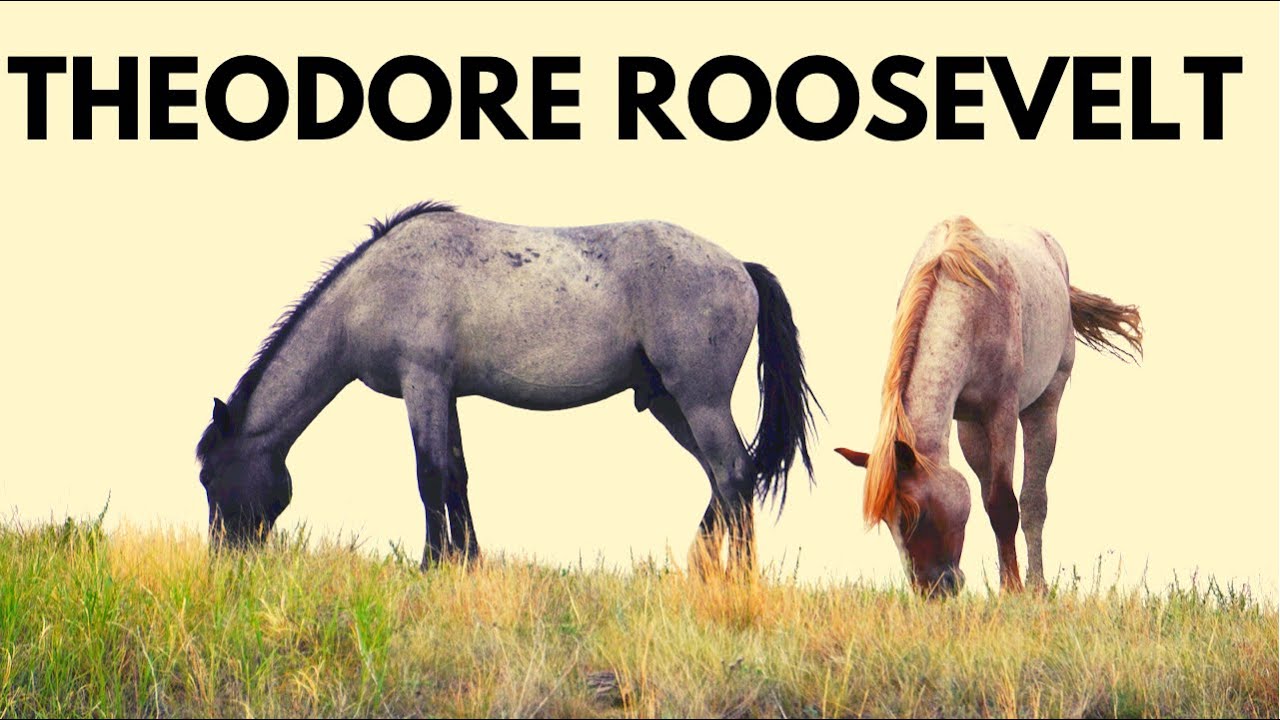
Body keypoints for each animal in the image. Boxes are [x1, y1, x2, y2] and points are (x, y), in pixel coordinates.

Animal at [196, 201, 819, 575]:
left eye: (208, 476)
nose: (223, 556)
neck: (371, 291)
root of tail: (739, 266)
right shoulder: (445, 391)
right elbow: (457, 474)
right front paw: (468, 560)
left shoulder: (422, 382)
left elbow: (429, 475)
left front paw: (431, 565)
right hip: (670, 403)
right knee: (724, 477)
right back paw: (699, 570)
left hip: (699, 399)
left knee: (734, 472)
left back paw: (736, 580)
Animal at [835, 216, 1142, 597]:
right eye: (889, 522)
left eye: (916, 514)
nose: (931, 590)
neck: (967, 305)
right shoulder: (968, 420)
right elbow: (986, 501)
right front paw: (1005, 582)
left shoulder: (1001, 413)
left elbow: (1004, 504)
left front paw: (1012, 589)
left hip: (1045, 404)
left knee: (1033, 501)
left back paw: (1037, 585)